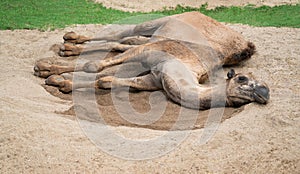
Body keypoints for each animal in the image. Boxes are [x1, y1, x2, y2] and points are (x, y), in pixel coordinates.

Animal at [33, 11, 270, 109]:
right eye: (242, 79)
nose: (264, 92)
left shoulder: (153, 79)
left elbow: (105, 80)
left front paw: (59, 81)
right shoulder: (151, 52)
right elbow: (95, 66)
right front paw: (46, 69)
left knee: (123, 41)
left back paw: (68, 47)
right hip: (160, 23)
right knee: (125, 33)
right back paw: (67, 42)